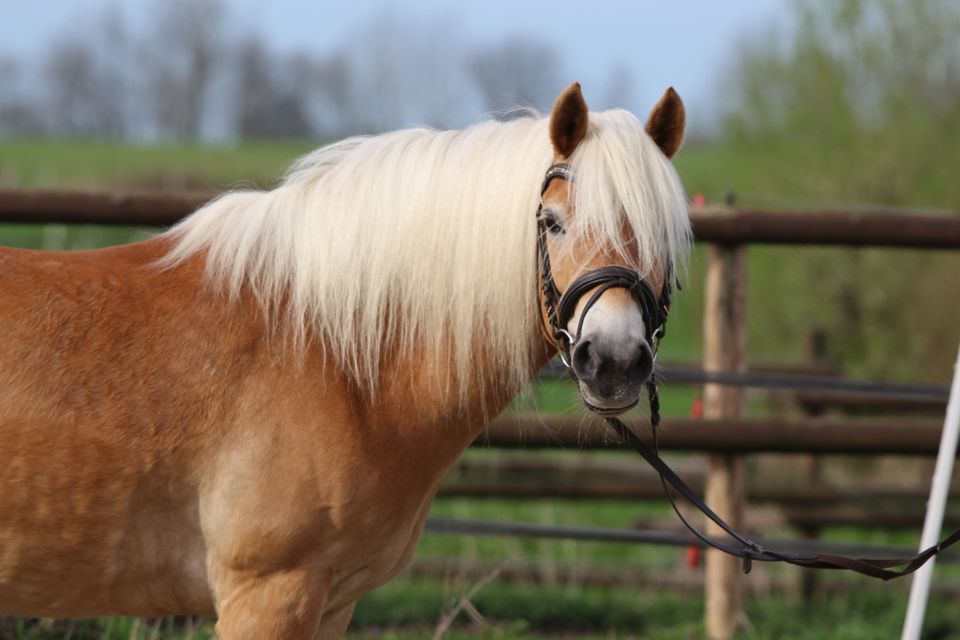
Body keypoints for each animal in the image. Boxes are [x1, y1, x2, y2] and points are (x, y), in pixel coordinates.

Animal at [0, 82, 688, 636]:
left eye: (665, 236)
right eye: (552, 222)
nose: (614, 360)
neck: (327, 355)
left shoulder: (332, 603)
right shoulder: (268, 596)